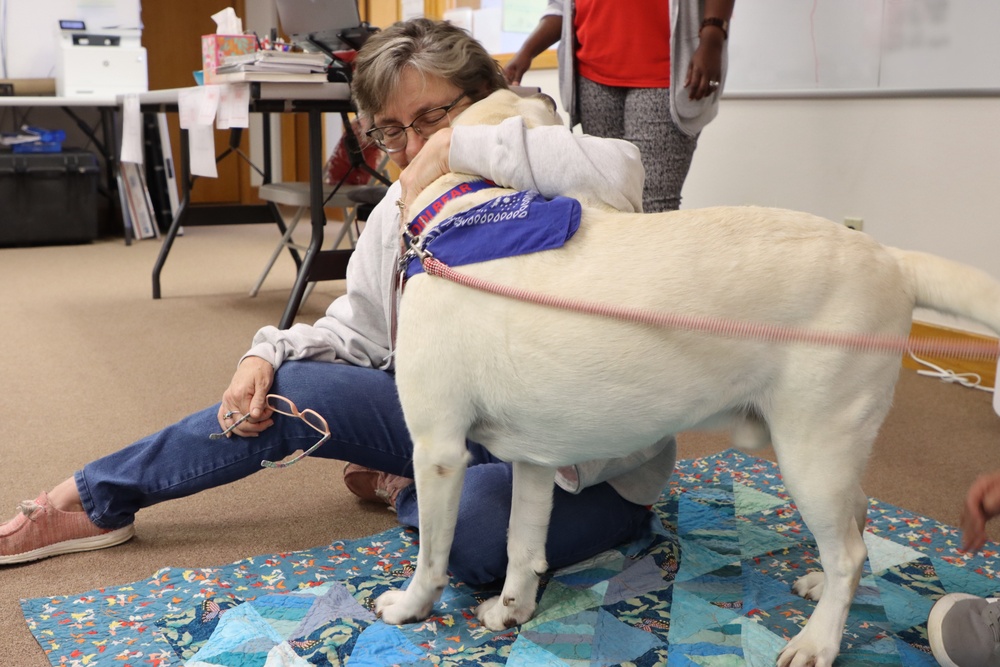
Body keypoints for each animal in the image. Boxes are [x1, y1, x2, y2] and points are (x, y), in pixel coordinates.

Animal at [374, 90, 1000, 667]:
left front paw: (410, 607)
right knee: (860, 514)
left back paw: (817, 641)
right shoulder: (533, 461)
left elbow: (431, 555)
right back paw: (822, 590)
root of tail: (893, 259)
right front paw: (513, 609)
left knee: (848, 551)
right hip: (826, 448)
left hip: (811, 450)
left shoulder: (438, 450)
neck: (462, 208)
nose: (550, 90)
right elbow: (522, 544)